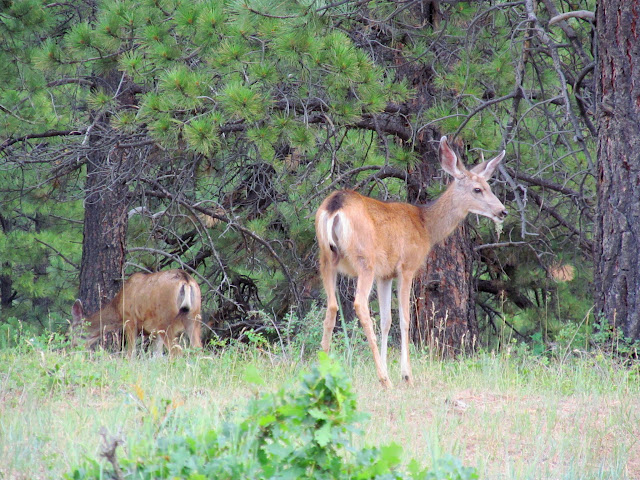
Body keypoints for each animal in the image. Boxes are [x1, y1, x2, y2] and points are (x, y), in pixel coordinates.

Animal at [69, 270, 202, 356]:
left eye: (68, 333)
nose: (70, 348)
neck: (118, 309)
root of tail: (186, 280)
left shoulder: (130, 321)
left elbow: (130, 353)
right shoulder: (154, 332)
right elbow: (156, 356)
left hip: (166, 322)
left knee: (177, 352)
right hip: (194, 318)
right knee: (198, 349)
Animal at [312, 134, 508, 386]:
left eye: (489, 186)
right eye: (477, 189)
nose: (502, 211)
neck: (425, 226)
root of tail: (334, 206)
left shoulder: (385, 274)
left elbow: (387, 321)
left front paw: (390, 367)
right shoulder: (406, 267)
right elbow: (404, 319)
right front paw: (406, 375)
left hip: (326, 258)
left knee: (332, 306)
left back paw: (322, 371)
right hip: (364, 260)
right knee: (359, 305)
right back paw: (385, 379)